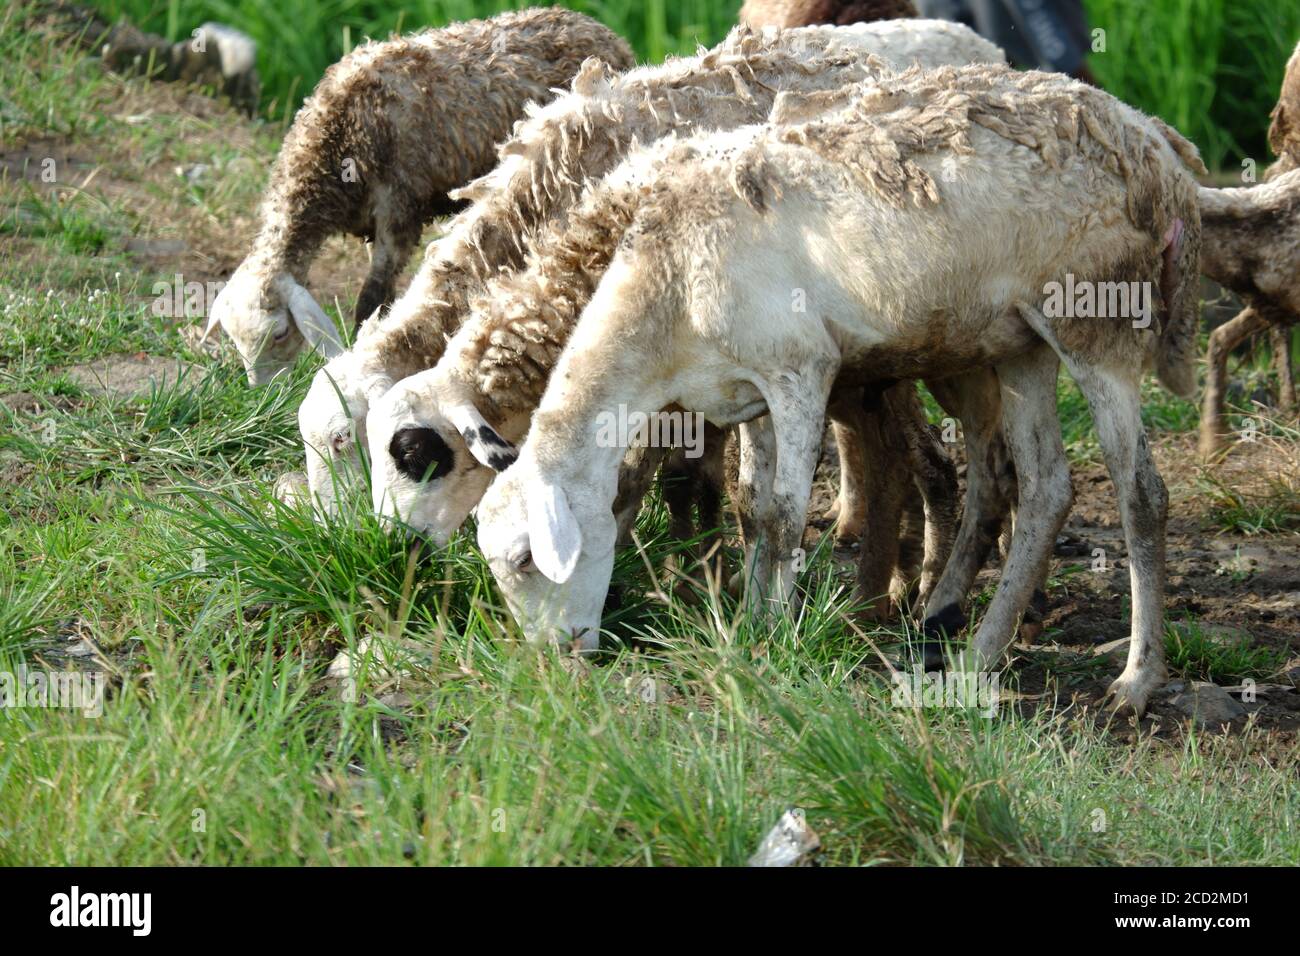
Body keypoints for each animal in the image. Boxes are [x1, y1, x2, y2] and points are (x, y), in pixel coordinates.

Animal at [197, 6, 634, 385]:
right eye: (234, 341)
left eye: (280, 333)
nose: (264, 392)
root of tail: (597, 27)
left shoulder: (398, 212)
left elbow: (372, 301)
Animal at [473, 67, 1201, 723]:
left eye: (526, 560)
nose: (555, 663)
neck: (667, 300)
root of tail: (1153, 142)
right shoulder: (749, 386)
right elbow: (754, 505)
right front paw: (750, 619)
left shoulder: (801, 368)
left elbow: (785, 515)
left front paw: (774, 634)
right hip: (1020, 341)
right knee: (1048, 487)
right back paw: (977, 653)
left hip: (1096, 315)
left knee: (1141, 494)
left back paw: (1136, 679)